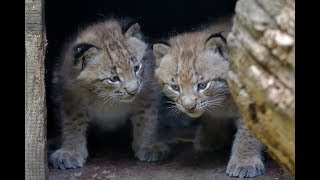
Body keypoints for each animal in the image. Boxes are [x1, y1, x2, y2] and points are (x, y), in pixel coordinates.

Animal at [48, 18, 169, 169]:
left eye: (136, 68)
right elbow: (72, 124)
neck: (106, 98)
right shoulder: (70, 98)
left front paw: (148, 146)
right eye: (114, 78)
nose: (133, 90)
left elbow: (146, 120)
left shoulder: (147, 91)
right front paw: (71, 151)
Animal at [152, 20, 264, 177]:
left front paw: (245, 162)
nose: (188, 106)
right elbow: (209, 118)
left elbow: (247, 134)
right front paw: (211, 138)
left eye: (202, 85)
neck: (223, 100)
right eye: (175, 87)